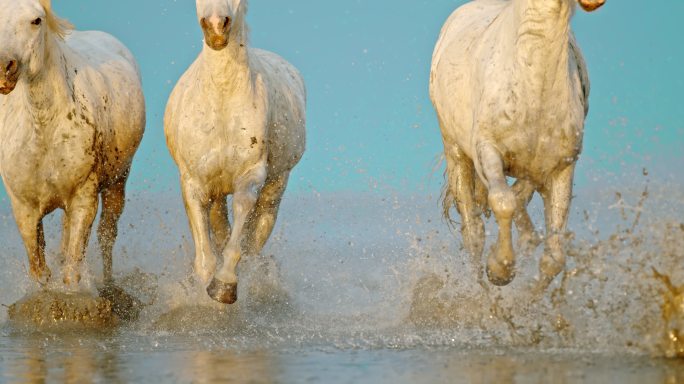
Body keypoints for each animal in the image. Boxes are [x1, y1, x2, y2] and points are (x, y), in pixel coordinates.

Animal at [0, 0, 146, 288]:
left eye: (36, 20)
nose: (3, 68)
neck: (44, 128)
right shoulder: (24, 209)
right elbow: (40, 270)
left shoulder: (83, 199)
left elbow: (72, 271)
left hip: (117, 182)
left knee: (107, 235)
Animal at [164, 0, 306, 306]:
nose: (216, 27)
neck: (222, 98)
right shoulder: (193, 181)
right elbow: (206, 256)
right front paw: (205, 288)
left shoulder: (251, 174)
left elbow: (241, 219)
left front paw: (224, 285)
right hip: (216, 190)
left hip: (277, 182)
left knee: (260, 225)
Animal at [430, 0, 608, 290]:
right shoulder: (487, 151)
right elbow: (503, 202)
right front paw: (500, 270)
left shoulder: (561, 167)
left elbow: (554, 257)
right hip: (456, 152)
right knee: (474, 232)